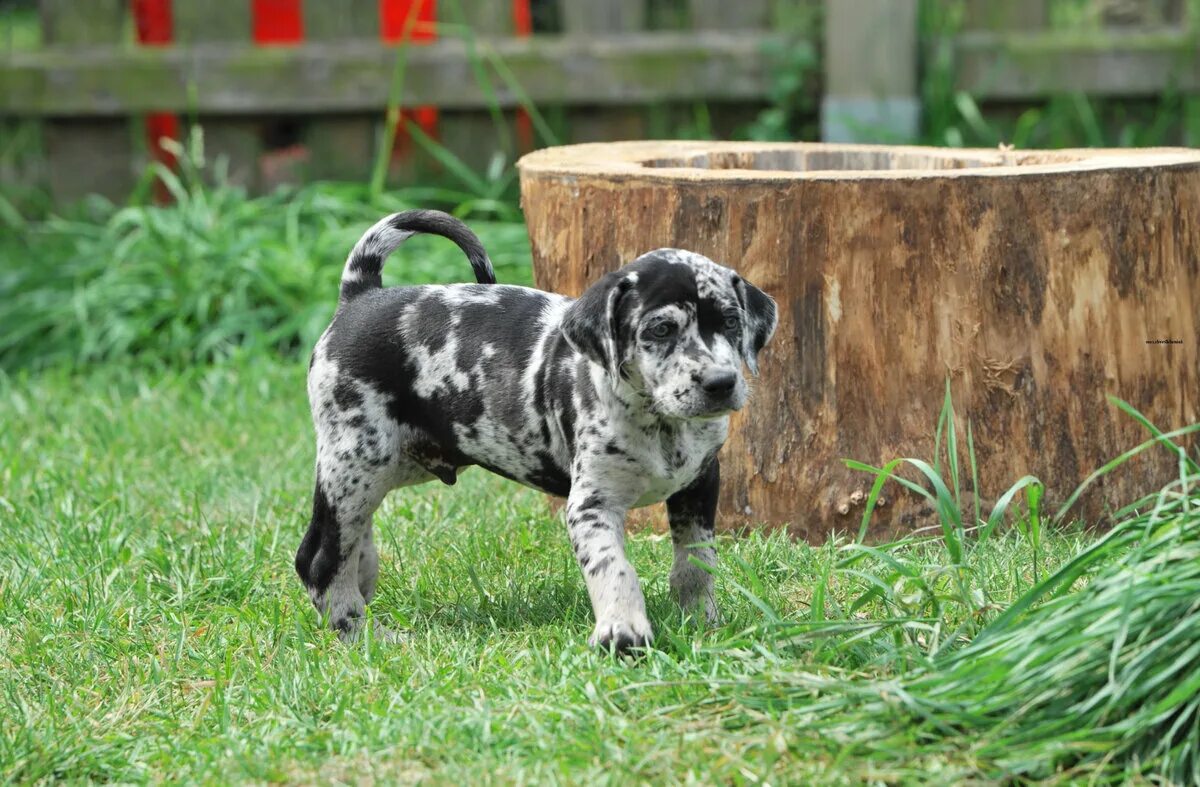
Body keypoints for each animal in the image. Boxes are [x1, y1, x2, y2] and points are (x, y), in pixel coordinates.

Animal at [300, 208, 777, 652]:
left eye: (731, 322)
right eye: (661, 330)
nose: (720, 383)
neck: (659, 423)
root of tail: (360, 296)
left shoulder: (699, 484)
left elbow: (697, 563)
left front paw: (702, 621)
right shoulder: (593, 505)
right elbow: (614, 567)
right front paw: (623, 631)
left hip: (392, 465)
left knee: (347, 537)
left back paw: (363, 578)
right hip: (358, 459)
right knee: (318, 559)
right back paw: (362, 634)